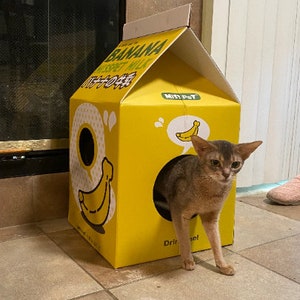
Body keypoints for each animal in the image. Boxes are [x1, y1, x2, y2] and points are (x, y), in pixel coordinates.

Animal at [154, 136, 262, 276]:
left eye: (235, 164)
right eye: (215, 162)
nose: (226, 174)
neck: (210, 194)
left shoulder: (211, 217)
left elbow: (216, 241)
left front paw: (223, 265)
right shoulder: (178, 212)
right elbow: (184, 238)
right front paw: (187, 260)